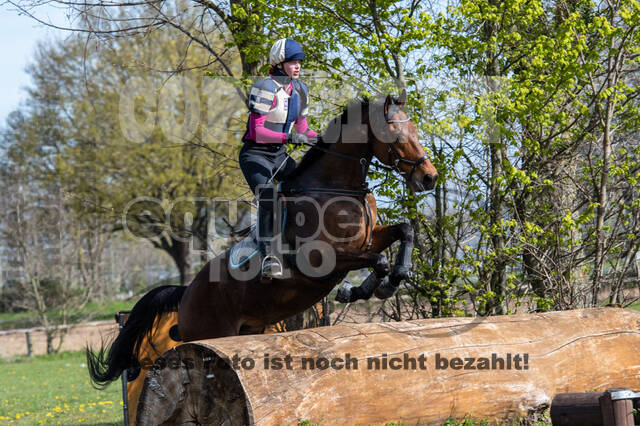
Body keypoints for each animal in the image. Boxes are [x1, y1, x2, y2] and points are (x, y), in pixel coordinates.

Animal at [85, 92, 438, 422]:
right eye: (394, 132)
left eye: (414, 129)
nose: (429, 177)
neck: (335, 188)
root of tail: (186, 292)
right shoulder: (321, 258)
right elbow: (378, 260)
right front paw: (362, 289)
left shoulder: (367, 240)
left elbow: (405, 231)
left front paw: (393, 279)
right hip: (210, 331)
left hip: (246, 331)